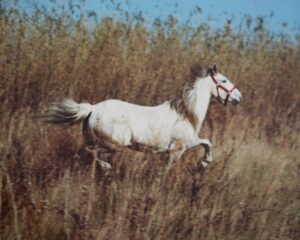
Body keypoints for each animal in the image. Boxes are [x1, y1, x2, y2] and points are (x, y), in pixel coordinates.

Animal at [43, 64, 243, 168]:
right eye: (224, 80)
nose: (238, 97)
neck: (187, 115)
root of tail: (92, 109)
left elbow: (207, 142)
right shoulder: (180, 148)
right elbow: (207, 142)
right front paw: (205, 162)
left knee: (82, 152)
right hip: (113, 145)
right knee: (90, 152)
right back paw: (106, 167)